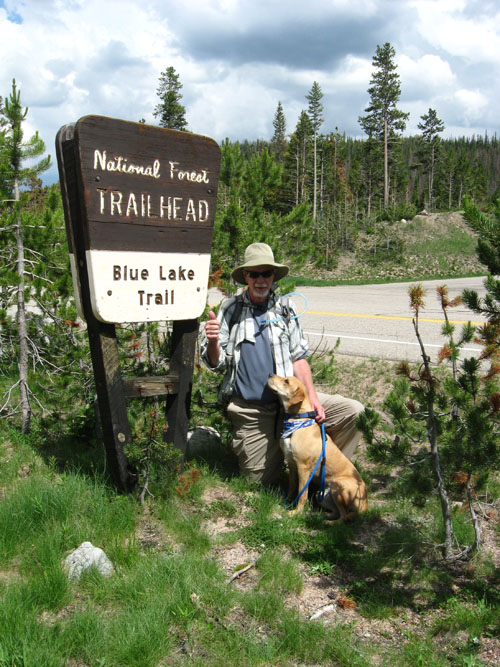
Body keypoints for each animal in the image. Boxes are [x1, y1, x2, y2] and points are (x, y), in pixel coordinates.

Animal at [267, 375, 368, 521]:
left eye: (286, 381)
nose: (270, 374)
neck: (298, 420)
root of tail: (365, 502)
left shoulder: (303, 467)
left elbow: (302, 493)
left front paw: (296, 512)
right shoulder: (291, 463)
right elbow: (292, 487)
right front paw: (286, 502)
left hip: (340, 488)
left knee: (345, 516)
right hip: (323, 495)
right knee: (337, 512)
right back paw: (319, 515)